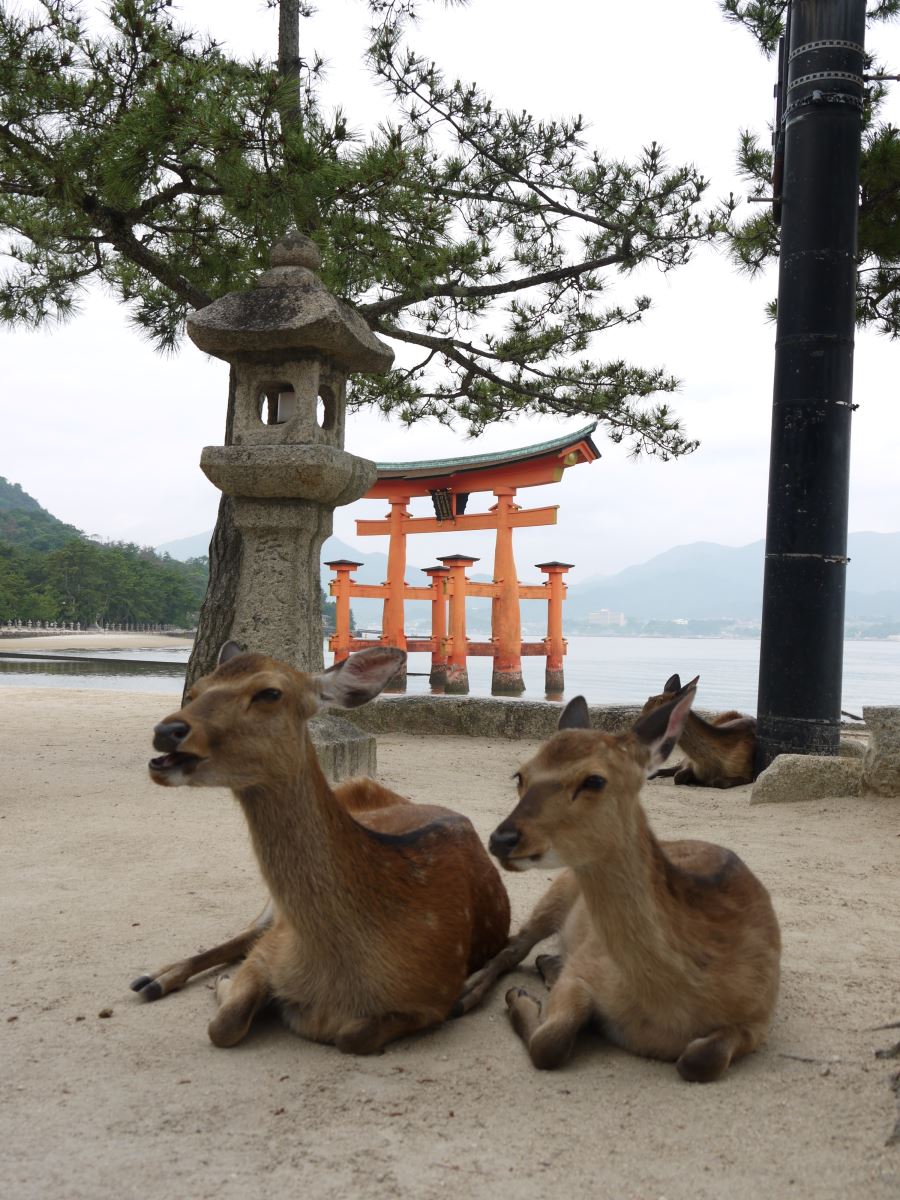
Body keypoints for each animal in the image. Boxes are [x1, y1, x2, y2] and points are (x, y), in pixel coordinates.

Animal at [136, 643, 511, 1056]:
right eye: (196, 689)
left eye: (270, 693)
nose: (167, 731)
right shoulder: (271, 950)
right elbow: (224, 1024)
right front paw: (225, 986)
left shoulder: (433, 996)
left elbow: (353, 1035)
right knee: (245, 934)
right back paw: (152, 978)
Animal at [458, 686, 782, 1089]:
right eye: (520, 774)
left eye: (595, 780)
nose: (501, 839)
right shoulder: (585, 968)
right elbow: (549, 1042)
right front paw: (522, 999)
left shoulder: (760, 1013)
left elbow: (700, 1059)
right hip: (558, 890)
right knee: (515, 945)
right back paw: (471, 990)